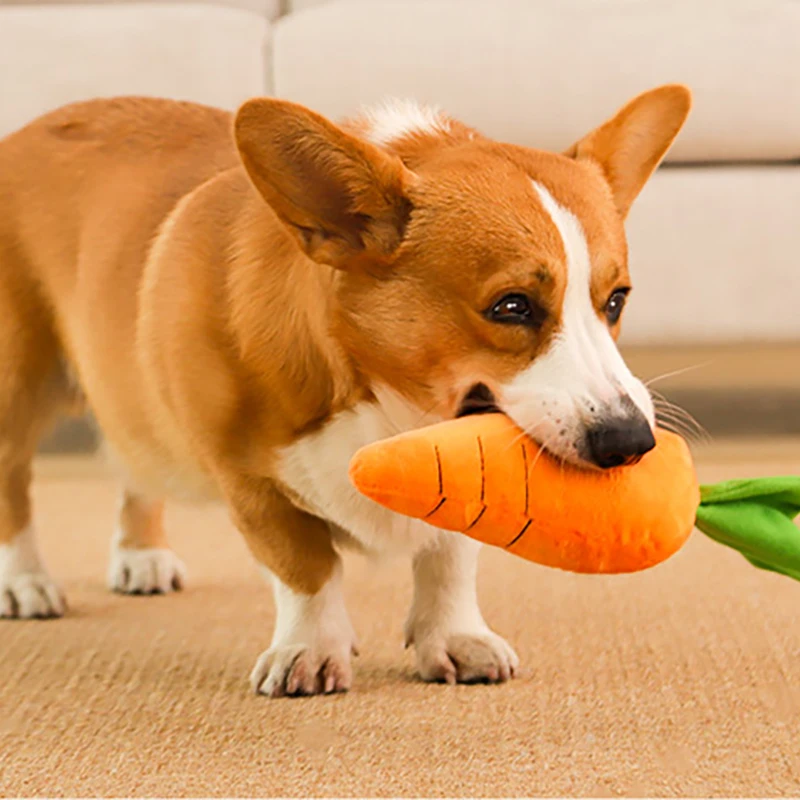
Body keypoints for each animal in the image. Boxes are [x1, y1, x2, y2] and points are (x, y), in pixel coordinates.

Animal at [0, 83, 688, 692]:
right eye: (512, 306)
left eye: (616, 300)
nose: (631, 443)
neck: (390, 410)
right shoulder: (249, 483)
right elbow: (306, 567)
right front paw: (309, 652)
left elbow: (449, 559)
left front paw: (455, 638)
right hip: (19, 390)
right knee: (15, 484)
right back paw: (24, 583)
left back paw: (140, 555)